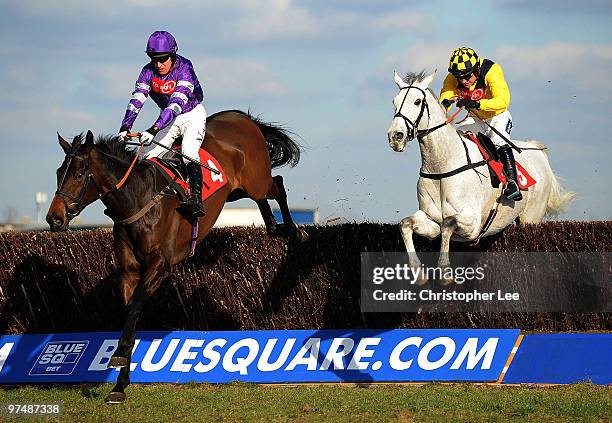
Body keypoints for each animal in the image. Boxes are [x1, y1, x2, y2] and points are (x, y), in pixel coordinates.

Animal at [46, 109, 306, 404]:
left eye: (80, 173)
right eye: (59, 173)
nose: (55, 218)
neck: (138, 201)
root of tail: (240, 116)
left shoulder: (161, 265)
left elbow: (134, 308)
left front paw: (119, 358)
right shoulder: (129, 272)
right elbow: (129, 316)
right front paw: (119, 385)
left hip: (256, 180)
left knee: (278, 186)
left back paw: (294, 231)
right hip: (237, 190)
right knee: (265, 198)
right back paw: (275, 227)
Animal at [388, 71, 572, 286]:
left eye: (417, 101)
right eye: (394, 101)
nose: (396, 136)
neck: (441, 164)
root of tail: (536, 150)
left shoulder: (472, 223)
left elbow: (447, 224)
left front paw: (445, 272)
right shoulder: (430, 220)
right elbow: (406, 224)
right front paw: (419, 273)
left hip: (531, 218)